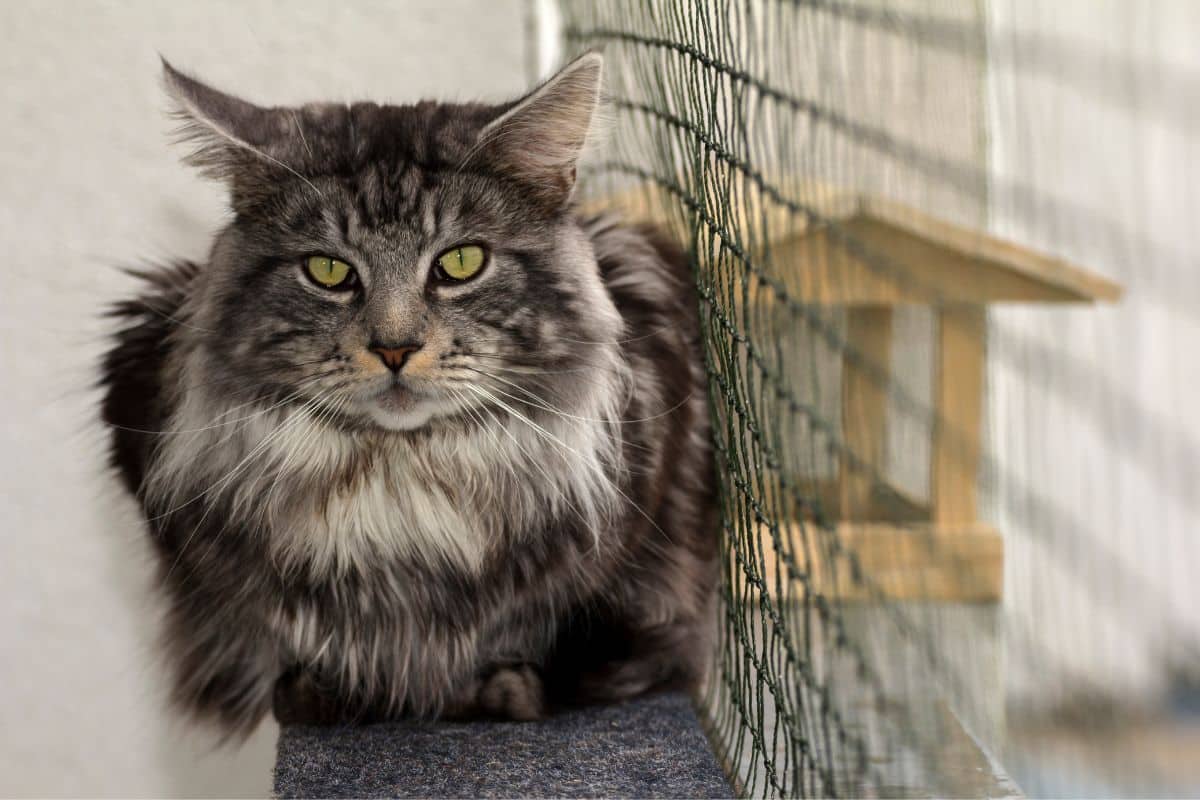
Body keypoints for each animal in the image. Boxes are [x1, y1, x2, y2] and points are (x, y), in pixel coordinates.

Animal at [100, 51, 710, 738]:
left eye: (462, 262)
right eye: (329, 271)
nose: (394, 348)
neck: (398, 485)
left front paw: (492, 691)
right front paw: (325, 694)